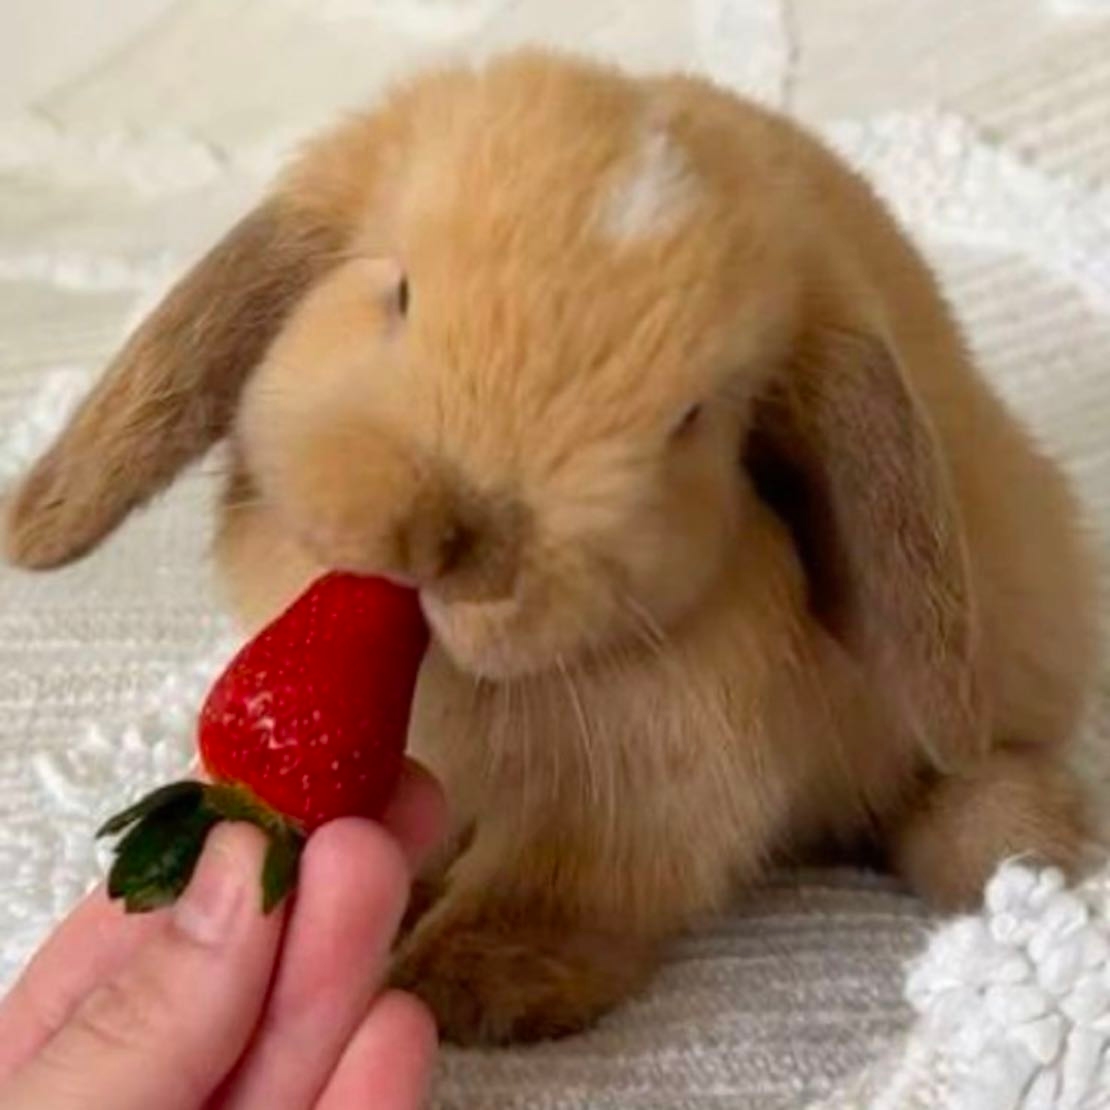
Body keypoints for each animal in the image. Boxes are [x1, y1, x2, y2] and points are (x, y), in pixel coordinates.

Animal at [4, 49, 1101, 1046]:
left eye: (693, 421)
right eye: (398, 292)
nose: (451, 536)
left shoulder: (647, 786)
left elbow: (563, 888)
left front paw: (466, 987)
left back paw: (1025, 858)